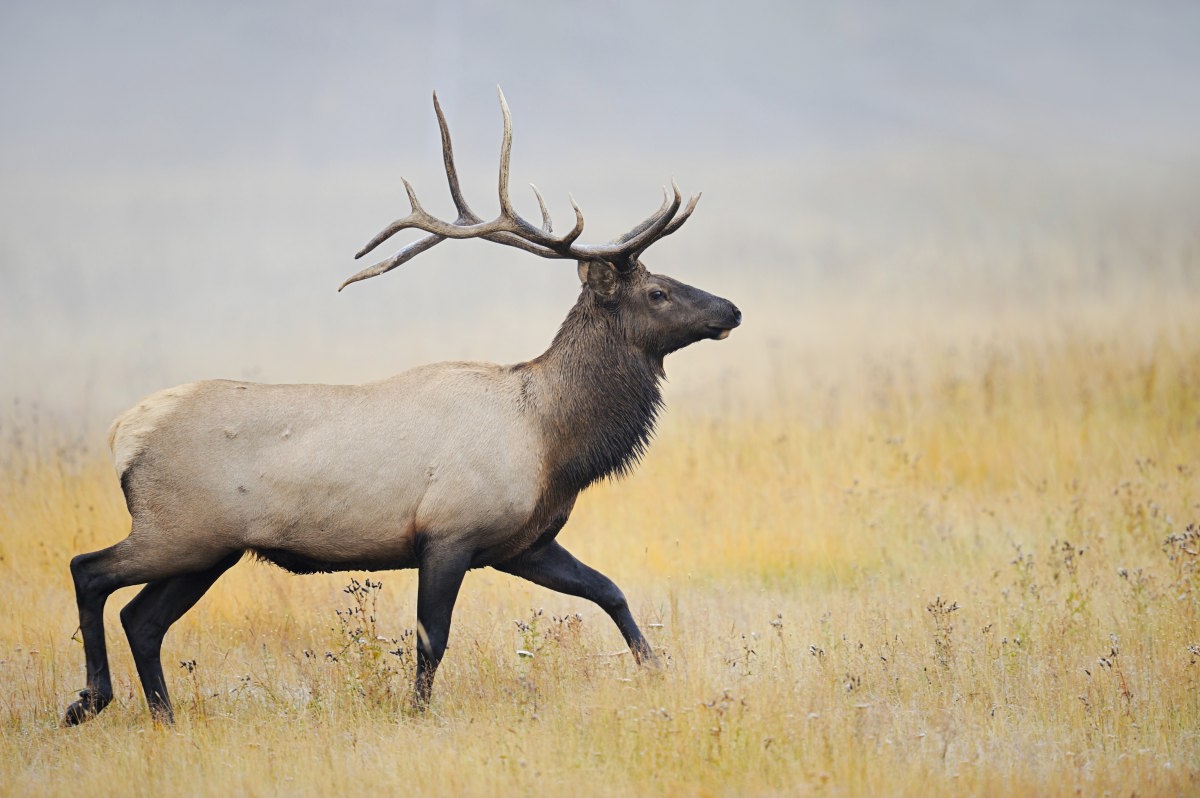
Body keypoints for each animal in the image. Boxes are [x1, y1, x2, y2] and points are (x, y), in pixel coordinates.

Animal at [65, 90, 744, 724]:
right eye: (657, 292)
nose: (731, 309)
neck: (552, 443)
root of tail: (122, 434)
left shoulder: (522, 543)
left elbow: (610, 590)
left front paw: (656, 669)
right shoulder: (448, 532)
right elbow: (431, 638)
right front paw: (417, 711)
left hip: (208, 549)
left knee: (143, 619)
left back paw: (163, 715)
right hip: (178, 529)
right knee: (89, 570)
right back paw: (90, 699)